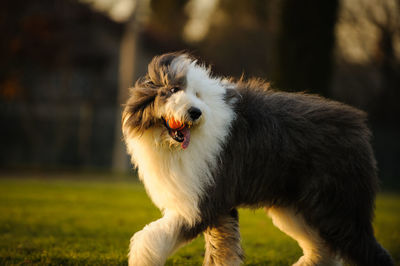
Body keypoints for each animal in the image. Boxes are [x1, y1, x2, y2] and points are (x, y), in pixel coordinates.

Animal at [121, 52, 390, 266]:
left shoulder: (202, 202)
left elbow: (152, 238)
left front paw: (141, 258)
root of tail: (357, 125)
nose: (195, 112)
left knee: (366, 249)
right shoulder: (218, 204)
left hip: (338, 207)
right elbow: (224, 249)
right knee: (322, 249)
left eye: (196, 94)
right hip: (297, 206)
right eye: (173, 90)